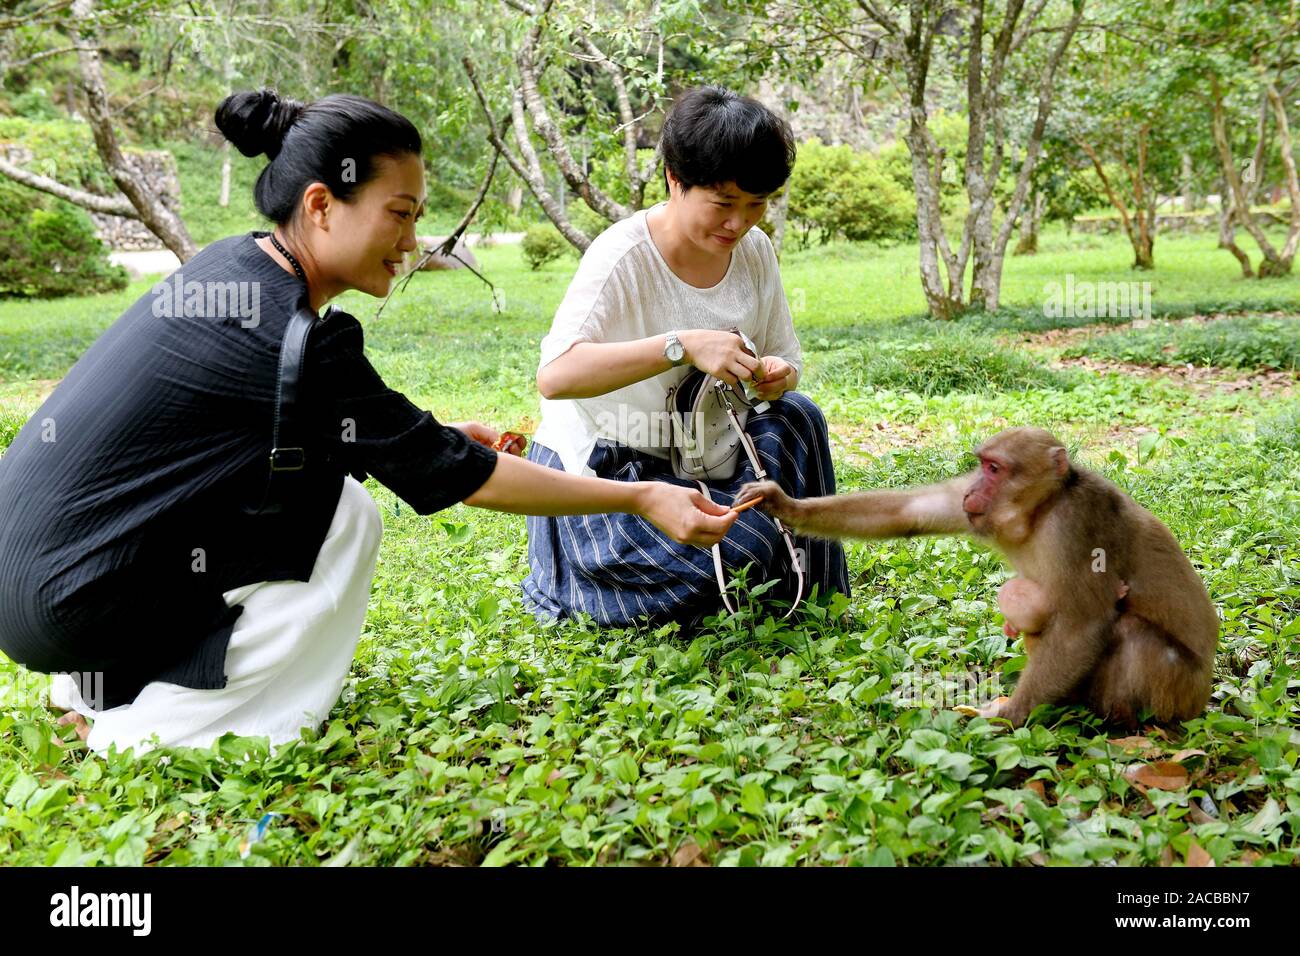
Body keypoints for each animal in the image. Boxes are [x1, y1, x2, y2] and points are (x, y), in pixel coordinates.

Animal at [743, 426, 1216, 723]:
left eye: (995, 469)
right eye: (981, 465)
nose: (973, 489)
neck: (1040, 513)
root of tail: (1203, 694)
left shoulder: (1080, 521)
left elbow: (1083, 624)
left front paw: (1012, 714)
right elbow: (908, 512)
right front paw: (782, 504)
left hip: (1178, 690)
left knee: (1128, 630)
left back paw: (1121, 724)